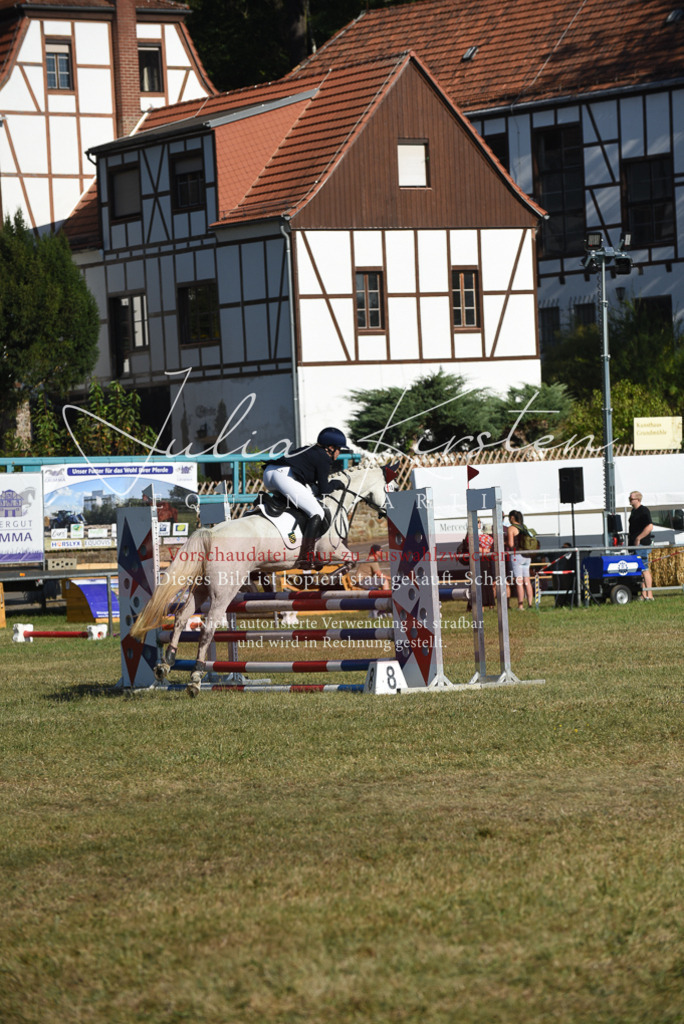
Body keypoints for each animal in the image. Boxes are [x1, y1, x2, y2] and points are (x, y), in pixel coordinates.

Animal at [130, 462, 391, 696]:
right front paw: (326, 579)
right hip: (224, 591)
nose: (386, 511)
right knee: (209, 626)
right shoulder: (329, 551)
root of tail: (210, 533)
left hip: (202, 588)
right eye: (388, 487)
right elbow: (351, 561)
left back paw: (165, 665)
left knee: (182, 617)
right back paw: (195, 679)